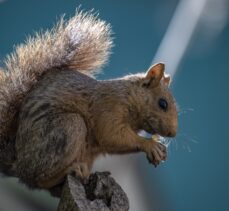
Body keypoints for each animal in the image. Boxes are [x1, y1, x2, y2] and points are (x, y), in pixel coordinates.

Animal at [0, 9, 177, 191]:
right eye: (163, 103)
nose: (173, 133)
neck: (129, 97)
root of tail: (17, 164)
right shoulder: (108, 108)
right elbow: (112, 135)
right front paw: (150, 145)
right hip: (66, 129)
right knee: (39, 179)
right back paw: (71, 170)